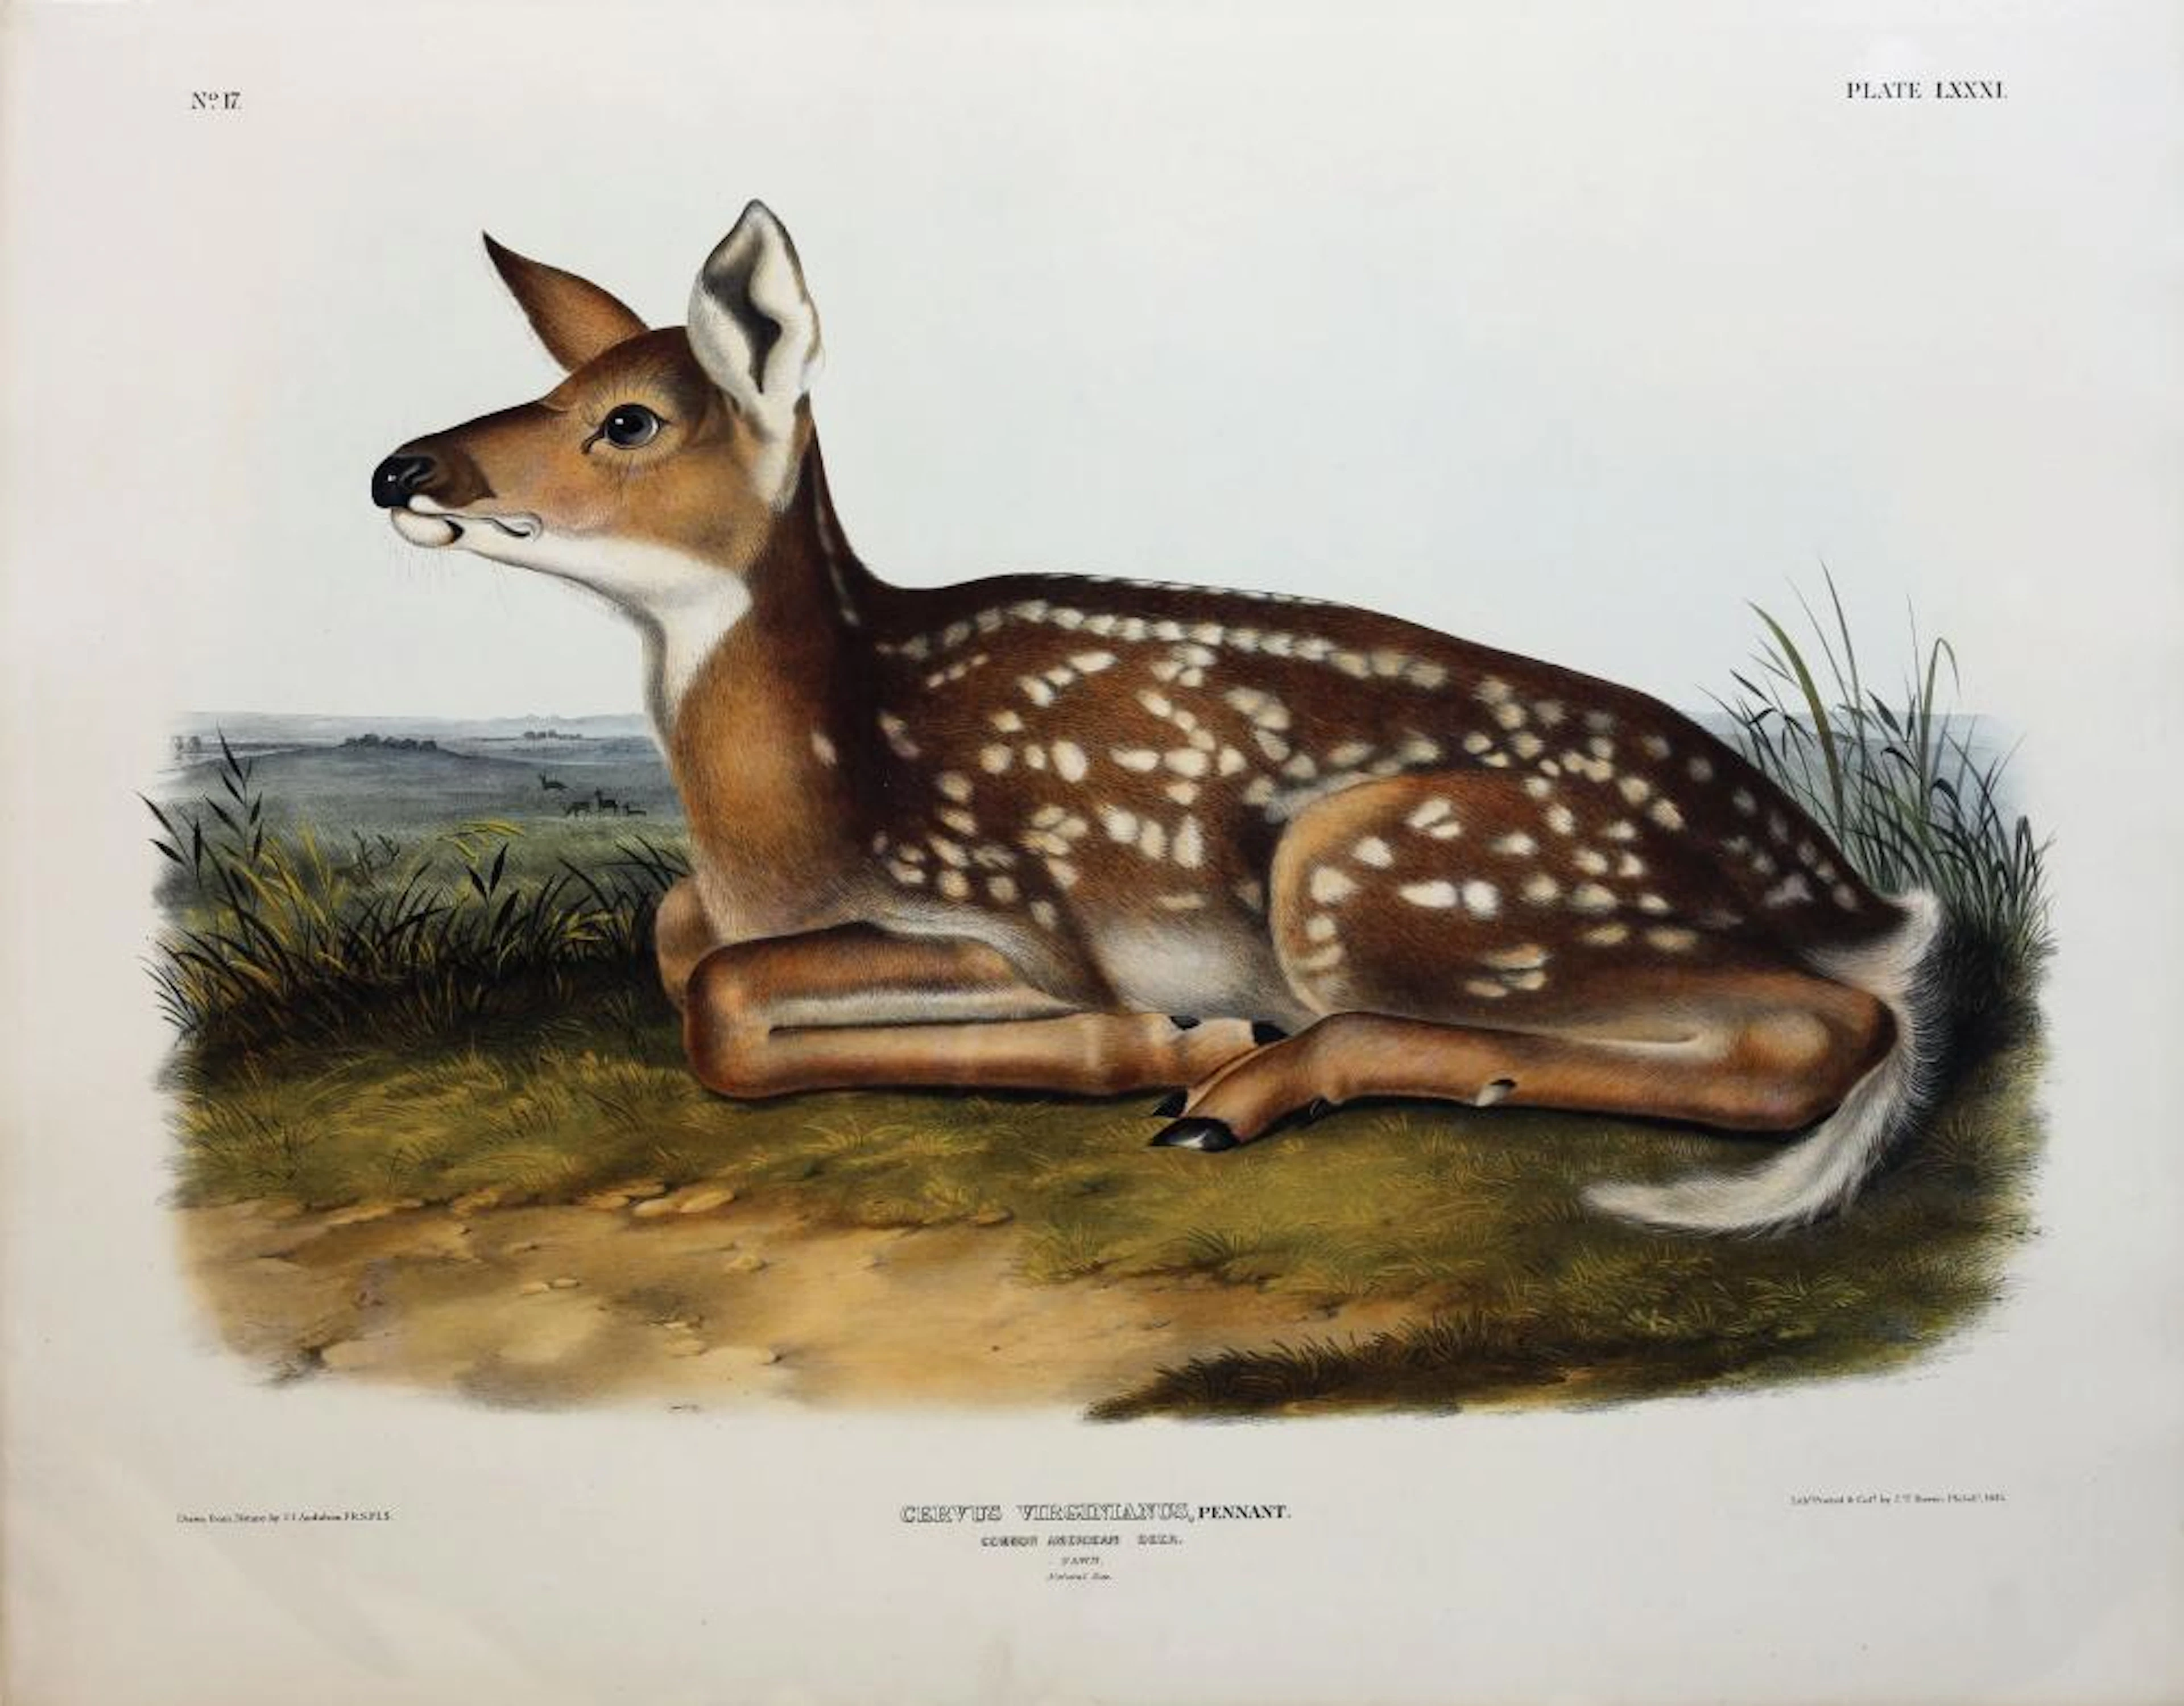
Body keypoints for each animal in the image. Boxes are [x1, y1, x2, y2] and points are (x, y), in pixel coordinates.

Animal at [370, 203, 1948, 1234]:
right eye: (556, 383)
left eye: (629, 419)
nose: (402, 468)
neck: (794, 817)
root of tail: (1857, 892)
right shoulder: (738, 901)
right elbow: (675, 936)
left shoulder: (1015, 910)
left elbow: (722, 1002)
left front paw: (1158, 1039)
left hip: (1378, 874)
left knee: (1829, 1027)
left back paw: (1235, 1078)